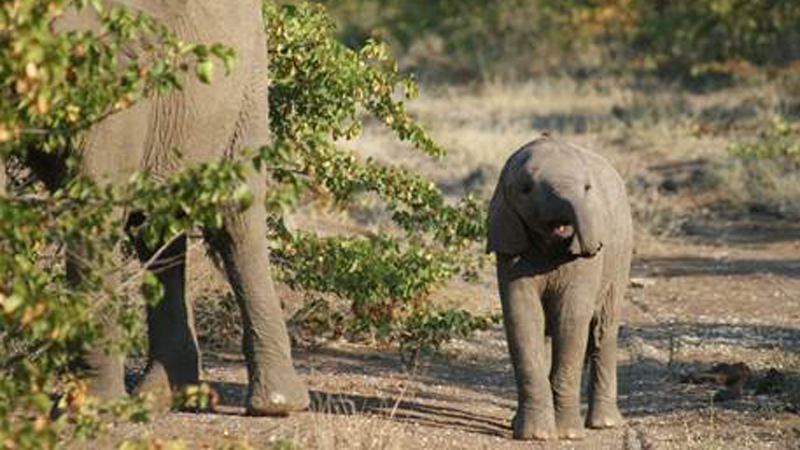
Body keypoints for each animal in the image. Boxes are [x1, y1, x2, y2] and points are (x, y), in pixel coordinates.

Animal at [0, 0, 310, 416]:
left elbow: (93, 212)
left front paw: (88, 409)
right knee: (153, 227)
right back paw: (163, 398)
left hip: (246, 84)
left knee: (234, 221)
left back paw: (274, 405)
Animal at [484, 135, 636, 442]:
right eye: (526, 189)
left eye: (588, 188)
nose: (593, 245)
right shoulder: (510, 246)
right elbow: (523, 317)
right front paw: (536, 435)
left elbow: (571, 318)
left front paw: (567, 434)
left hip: (621, 256)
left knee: (604, 327)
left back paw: (604, 424)